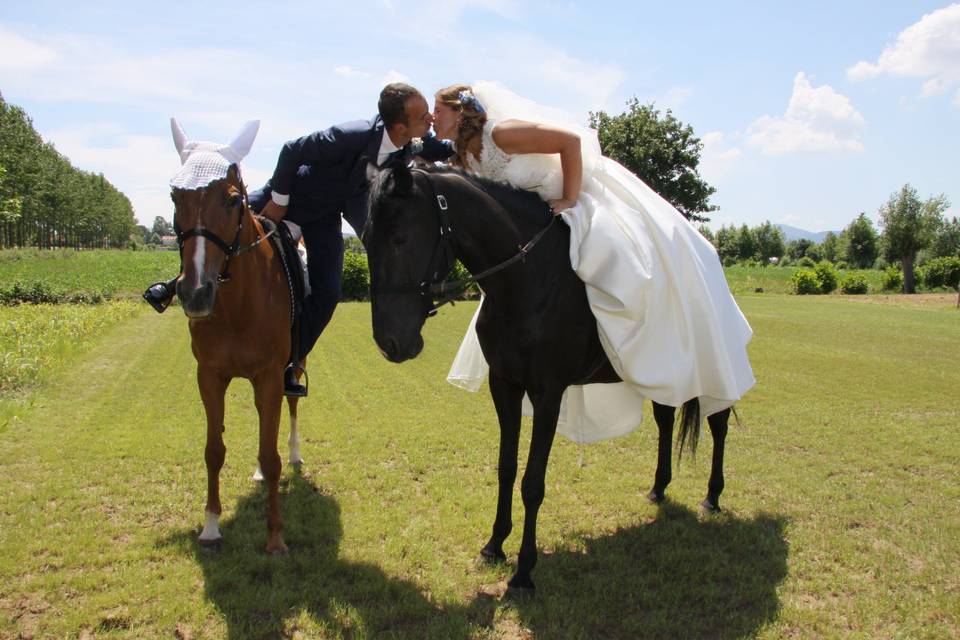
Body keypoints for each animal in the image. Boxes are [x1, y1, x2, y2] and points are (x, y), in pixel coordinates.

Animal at [171, 119, 302, 552]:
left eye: (231, 201)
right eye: (174, 196)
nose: (195, 291)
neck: (239, 305)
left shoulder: (271, 376)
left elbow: (272, 455)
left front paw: (275, 536)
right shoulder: (210, 376)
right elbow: (214, 451)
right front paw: (211, 526)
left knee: (289, 412)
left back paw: (294, 454)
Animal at [364, 160, 732, 596]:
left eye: (400, 238)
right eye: (365, 240)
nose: (390, 343)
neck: (526, 279)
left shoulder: (547, 395)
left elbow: (532, 483)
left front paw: (524, 571)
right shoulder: (504, 386)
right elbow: (506, 468)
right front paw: (494, 546)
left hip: (708, 369)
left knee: (718, 422)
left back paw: (712, 496)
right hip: (664, 370)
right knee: (665, 418)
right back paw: (659, 488)